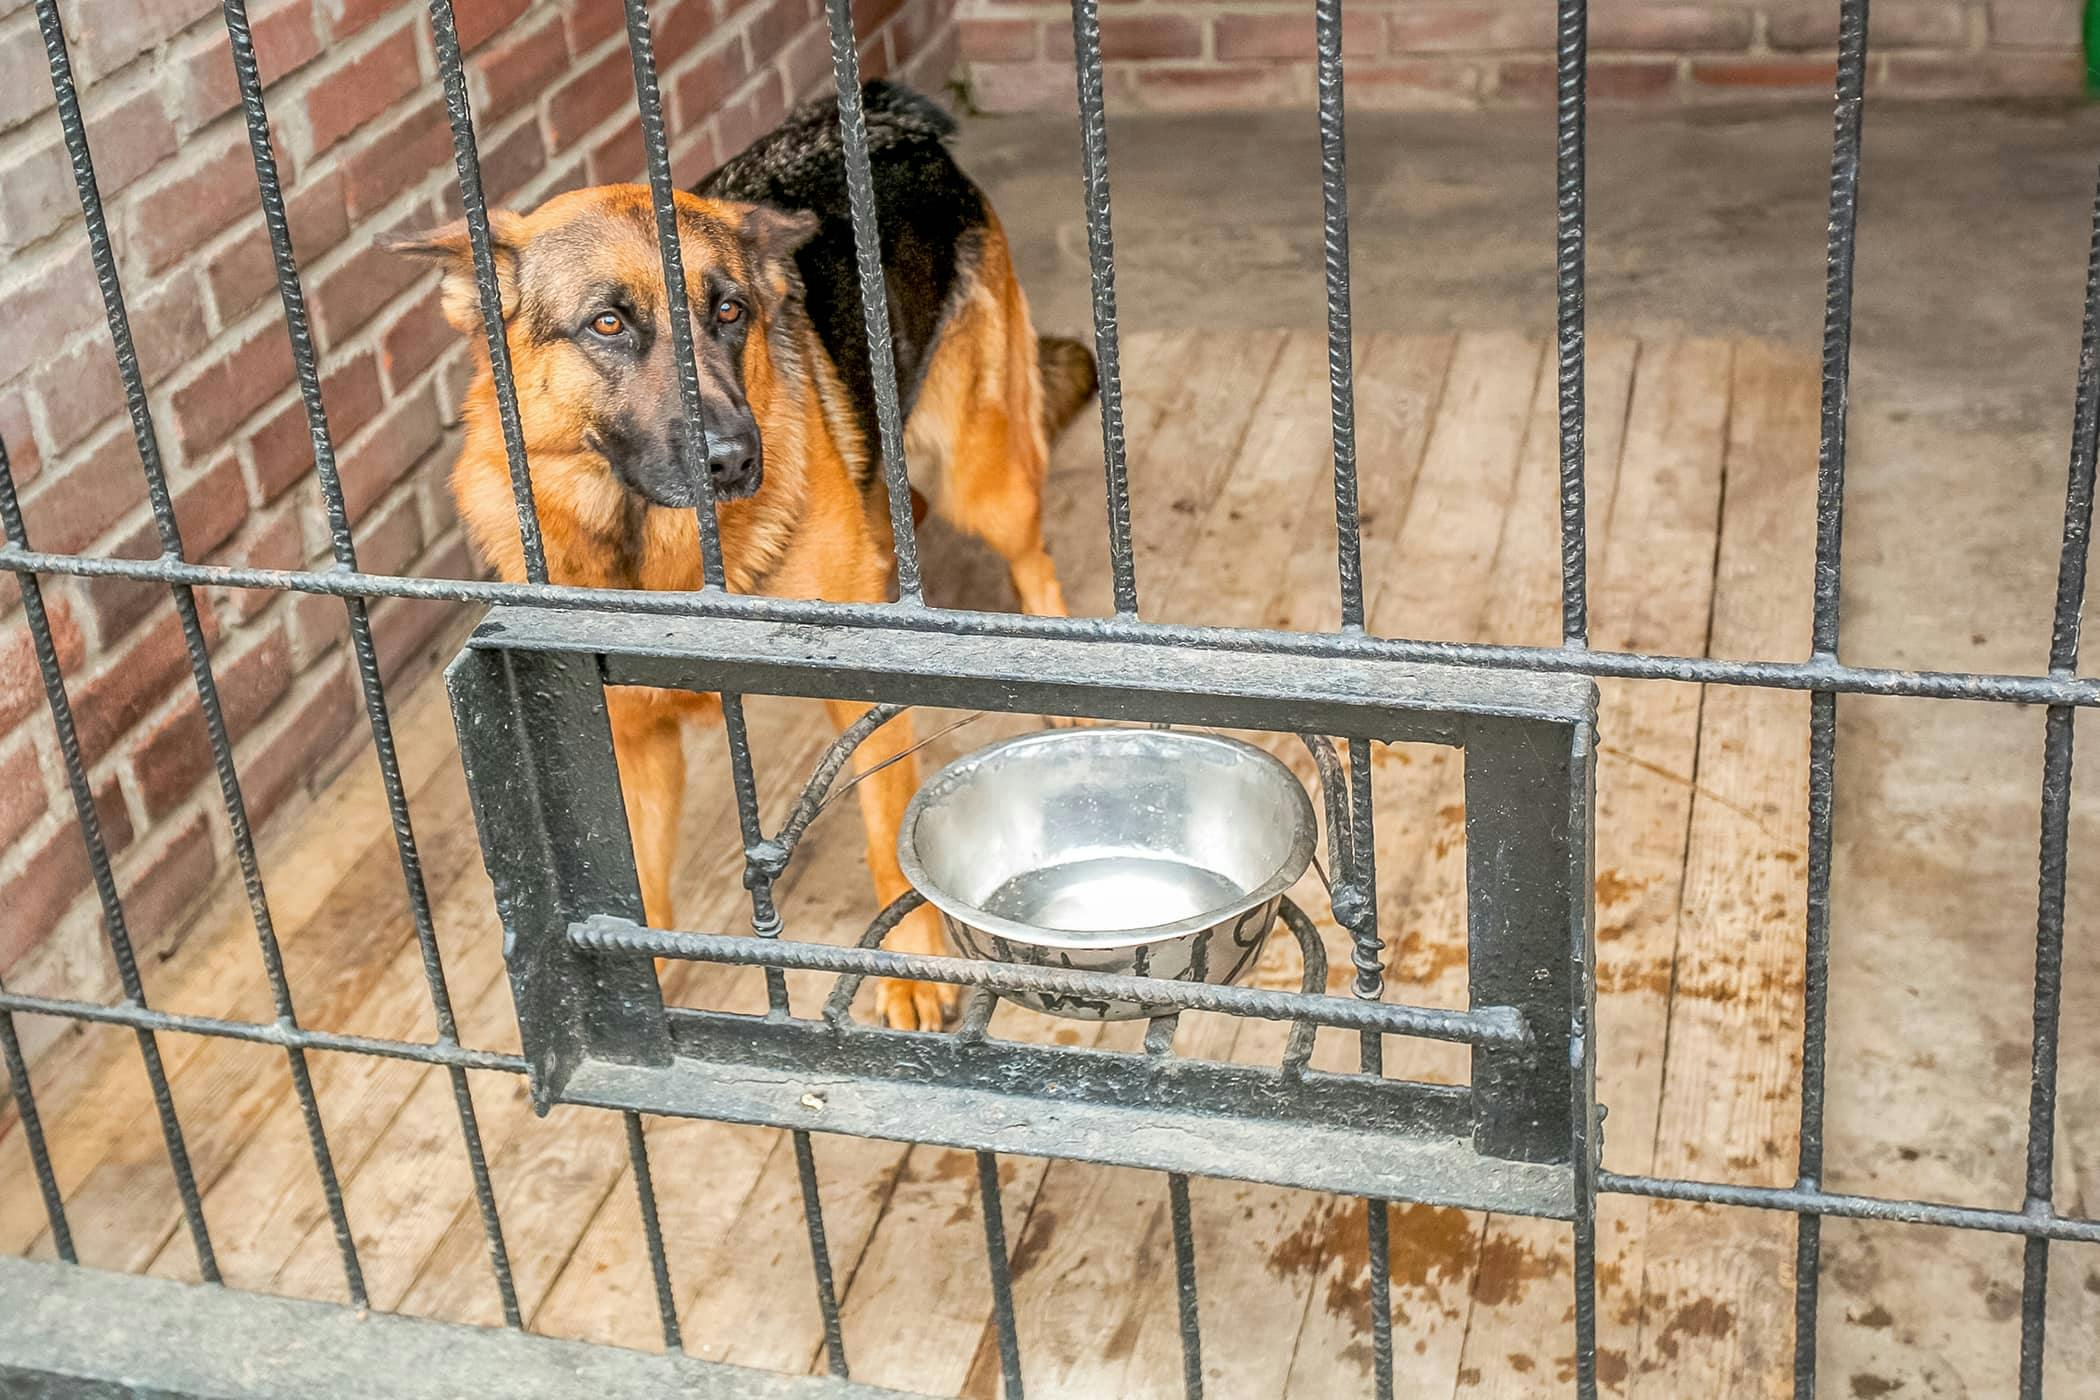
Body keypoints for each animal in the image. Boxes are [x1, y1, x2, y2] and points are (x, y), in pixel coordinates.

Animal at [388, 85, 1100, 1028]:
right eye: (608, 324)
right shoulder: (629, 739)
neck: (653, 552)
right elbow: (637, 888)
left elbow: (885, 830)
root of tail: (888, 116)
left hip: (979, 474)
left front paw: (907, 972)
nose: (735, 459)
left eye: (728, 313)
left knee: (1033, 561)